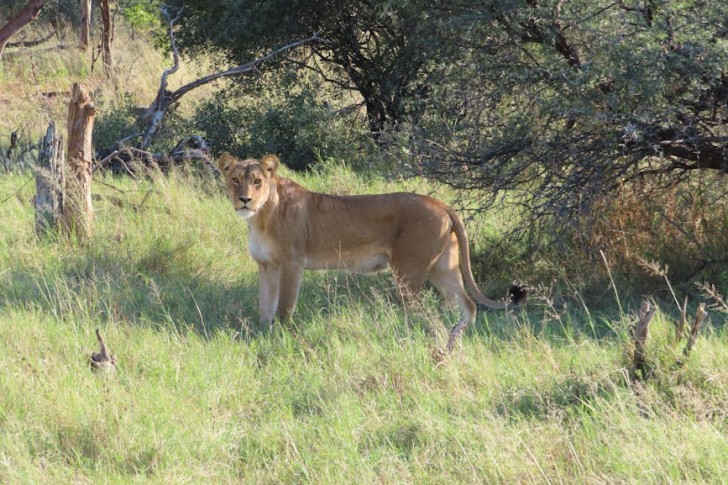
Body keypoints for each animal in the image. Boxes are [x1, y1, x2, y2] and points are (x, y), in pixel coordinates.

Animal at [217, 153, 525, 351]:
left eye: (257, 181)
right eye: (235, 179)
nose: (245, 199)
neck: (260, 217)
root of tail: (441, 204)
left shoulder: (292, 263)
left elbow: (283, 308)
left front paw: (280, 340)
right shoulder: (266, 266)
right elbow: (265, 306)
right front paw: (263, 335)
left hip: (409, 272)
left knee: (423, 314)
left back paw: (416, 344)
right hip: (444, 269)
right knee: (468, 306)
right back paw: (451, 344)